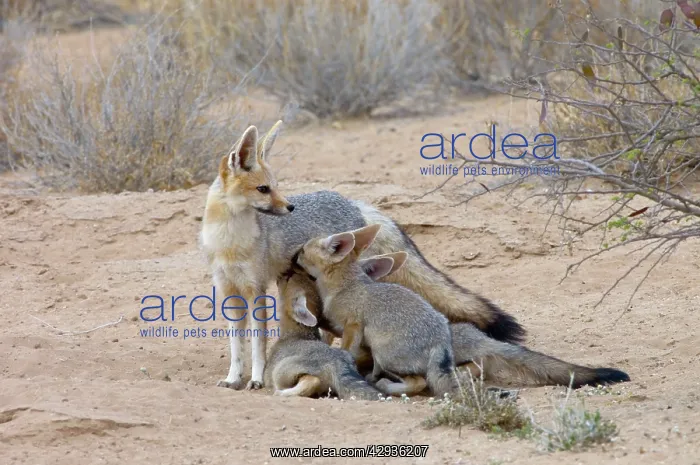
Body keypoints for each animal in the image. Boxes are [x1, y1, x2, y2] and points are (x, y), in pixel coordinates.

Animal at [263, 270, 381, 400]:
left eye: (289, 278)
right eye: (307, 277)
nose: (284, 272)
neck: (296, 334)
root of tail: (338, 363)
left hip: (280, 373)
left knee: (313, 381)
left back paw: (282, 393)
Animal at [295, 224, 460, 397]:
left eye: (303, 251)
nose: (294, 257)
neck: (344, 286)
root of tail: (441, 339)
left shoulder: (353, 324)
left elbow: (346, 350)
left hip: (382, 355)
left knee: (418, 383)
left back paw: (384, 385)